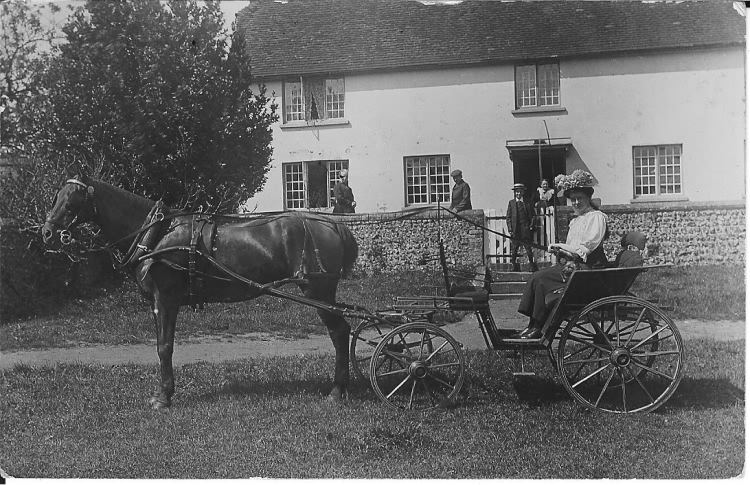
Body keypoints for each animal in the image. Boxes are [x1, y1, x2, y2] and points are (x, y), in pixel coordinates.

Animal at [43, 174, 362, 408]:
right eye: (56, 196)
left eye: (71, 201)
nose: (46, 232)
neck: (156, 234)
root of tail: (333, 224)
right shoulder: (158, 302)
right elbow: (161, 346)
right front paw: (162, 393)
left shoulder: (166, 299)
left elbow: (165, 347)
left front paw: (164, 397)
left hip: (318, 291)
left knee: (339, 332)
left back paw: (337, 389)